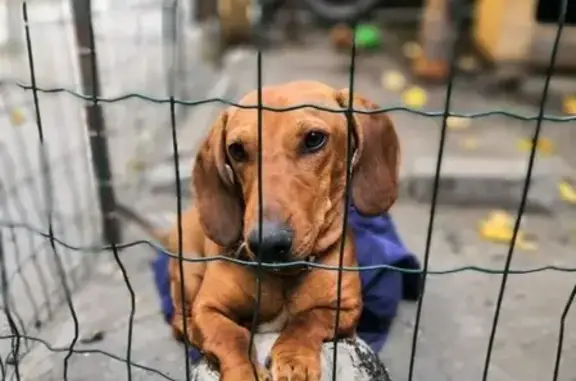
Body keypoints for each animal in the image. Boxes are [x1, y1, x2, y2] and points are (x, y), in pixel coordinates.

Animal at [116, 80, 396, 380]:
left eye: (314, 139)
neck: (282, 277)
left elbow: (307, 320)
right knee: (180, 318)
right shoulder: (208, 308)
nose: (267, 243)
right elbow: (230, 335)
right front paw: (244, 370)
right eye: (237, 150)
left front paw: (294, 358)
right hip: (188, 274)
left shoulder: (346, 308)